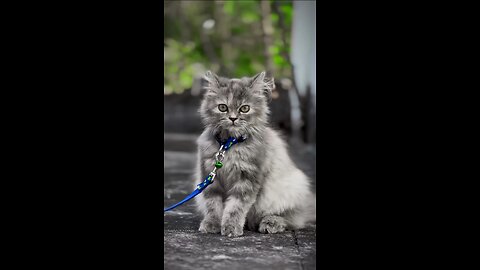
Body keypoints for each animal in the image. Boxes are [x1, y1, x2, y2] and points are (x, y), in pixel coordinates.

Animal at [194, 70, 316, 237]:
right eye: (222, 107)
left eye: (245, 108)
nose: (233, 118)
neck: (229, 146)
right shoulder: (210, 176)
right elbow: (213, 205)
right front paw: (212, 224)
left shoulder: (247, 178)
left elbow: (235, 207)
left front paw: (231, 227)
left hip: (287, 189)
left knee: (290, 218)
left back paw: (270, 223)